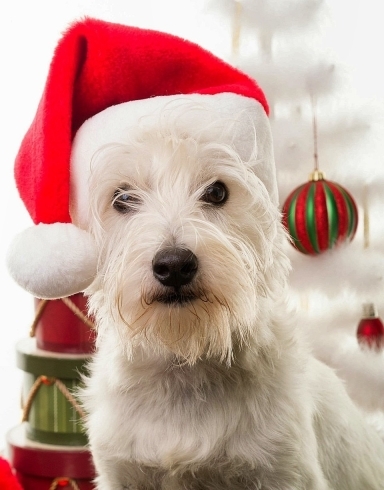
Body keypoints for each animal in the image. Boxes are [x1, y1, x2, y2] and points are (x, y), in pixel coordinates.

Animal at [65, 93, 384, 490]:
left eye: (217, 191)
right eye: (122, 198)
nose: (174, 265)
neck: (185, 362)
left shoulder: (285, 473)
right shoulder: (121, 473)